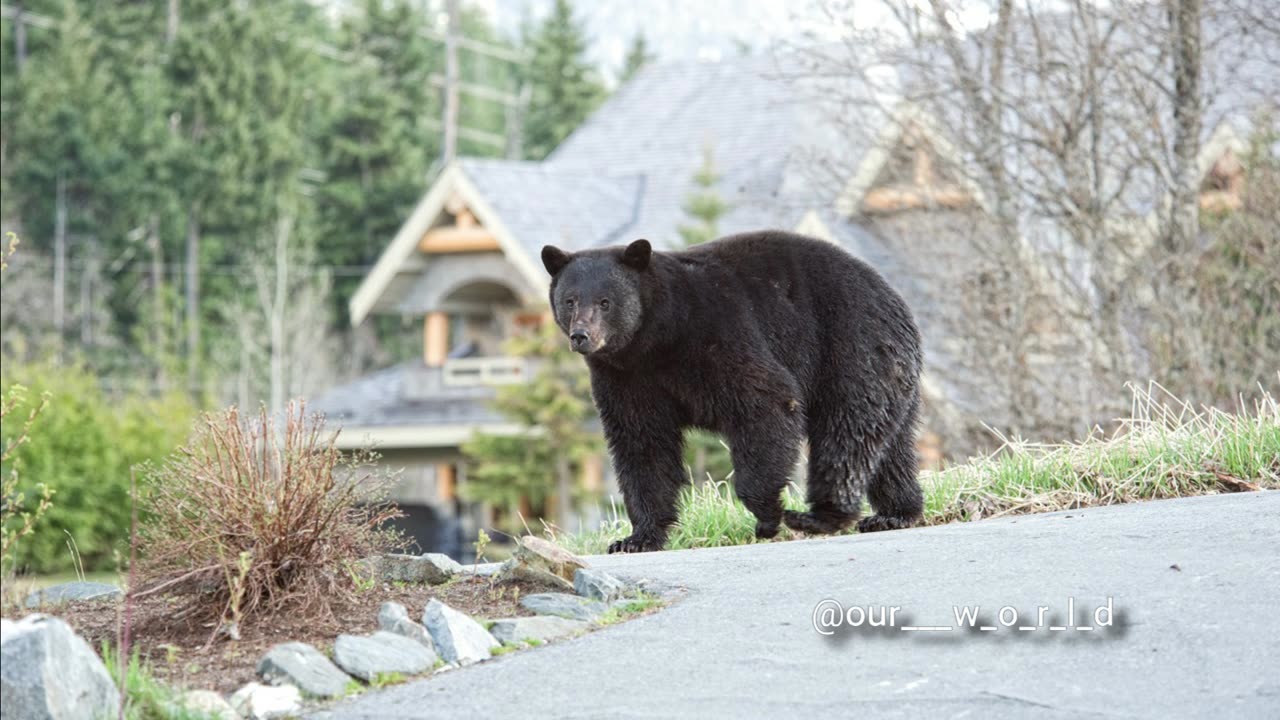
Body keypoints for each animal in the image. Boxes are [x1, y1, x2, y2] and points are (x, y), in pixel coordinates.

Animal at [540, 229, 921, 548]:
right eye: (570, 300)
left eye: (605, 302)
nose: (581, 336)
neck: (657, 337)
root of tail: (895, 297)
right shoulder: (626, 378)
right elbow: (641, 443)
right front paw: (637, 538)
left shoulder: (719, 332)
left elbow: (766, 400)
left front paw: (767, 516)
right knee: (891, 445)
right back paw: (896, 512)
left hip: (851, 347)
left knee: (846, 432)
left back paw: (819, 516)